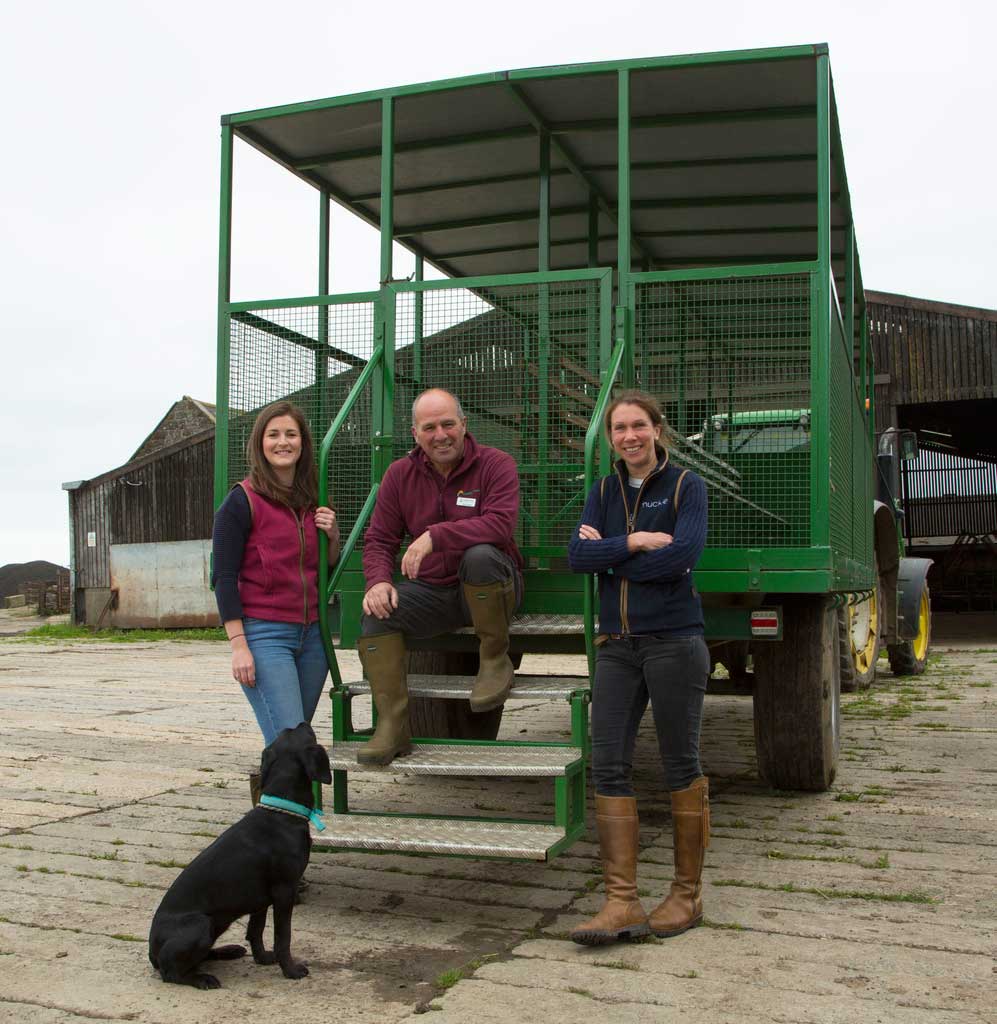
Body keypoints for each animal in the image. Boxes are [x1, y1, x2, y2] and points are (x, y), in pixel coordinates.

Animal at [148, 724, 333, 987]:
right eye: (303, 733)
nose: (302, 723)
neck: (281, 814)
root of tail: (151, 951)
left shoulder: (261, 899)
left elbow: (256, 930)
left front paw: (263, 959)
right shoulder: (284, 891)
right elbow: (282, 937)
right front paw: (290, 970)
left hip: (216, 926)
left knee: (203, 955)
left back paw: (229, 951)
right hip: (200, 925)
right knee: (170, 973)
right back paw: (203, 979)